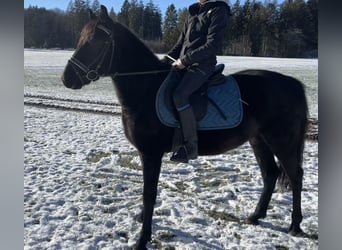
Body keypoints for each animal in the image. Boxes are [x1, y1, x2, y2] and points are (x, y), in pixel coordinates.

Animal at [60, 5, 308, 250]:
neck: (146, 89)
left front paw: (142, 238)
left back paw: (295, 226)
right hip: (259, 140)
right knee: (270, 174)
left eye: (96, 41)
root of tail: (292, 83)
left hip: (281, 141)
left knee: (295, 176)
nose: (66, 79)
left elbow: (149, 193)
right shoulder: (145, 154)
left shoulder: (151, 153)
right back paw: (256, 216)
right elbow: (146, 191)